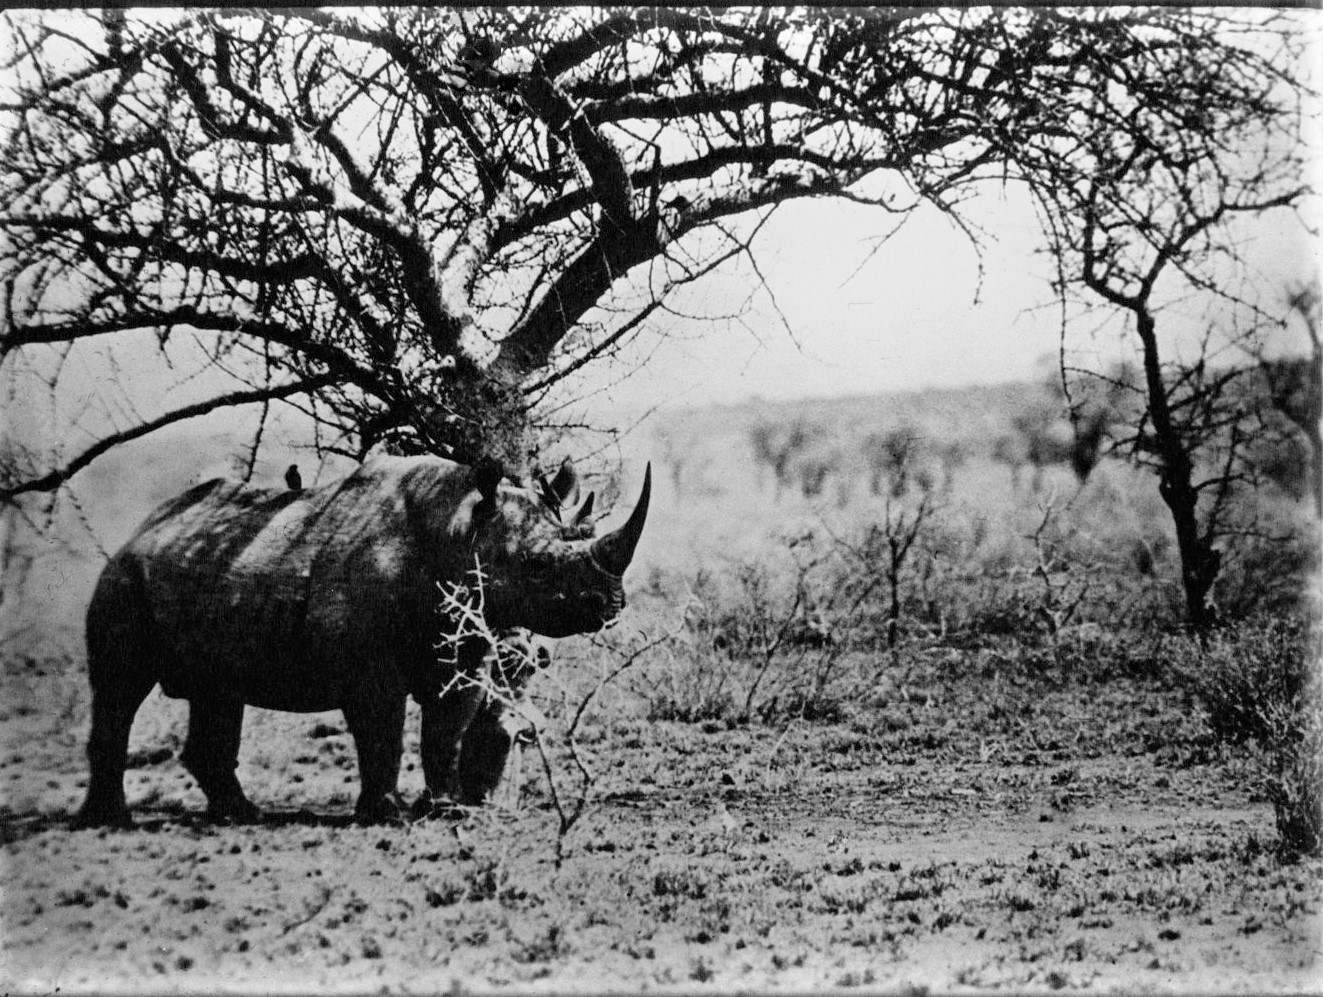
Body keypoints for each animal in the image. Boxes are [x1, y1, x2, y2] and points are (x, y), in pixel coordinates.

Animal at [73, 454, 650, 827]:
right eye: (536, 566)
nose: (611, 602)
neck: (460, 531)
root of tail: (140, 530)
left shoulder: (466, 648)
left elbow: (446, 728)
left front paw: (445, 809)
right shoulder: (367, 667)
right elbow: (382, 731)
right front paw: (385, 815)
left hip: (205, 572)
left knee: (217, 691)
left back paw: (238, 814)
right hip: (123, 580)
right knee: (121, 688)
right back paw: (110, 822)